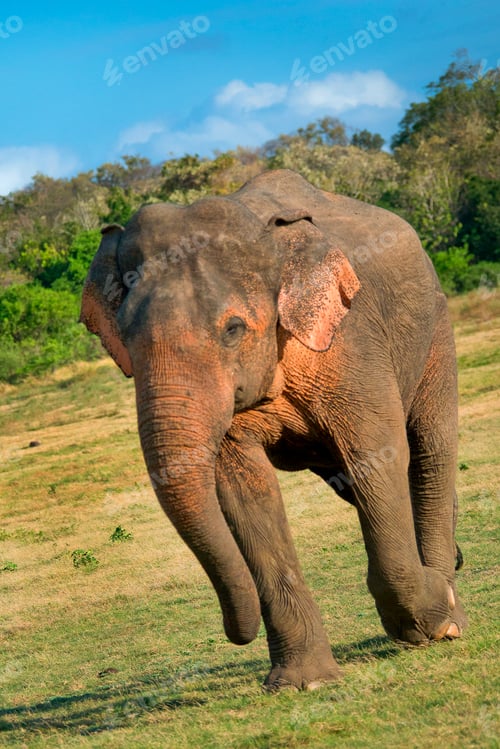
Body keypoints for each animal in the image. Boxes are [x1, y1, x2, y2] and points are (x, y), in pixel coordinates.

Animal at [80, 168, 467, 692]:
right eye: (126, 338)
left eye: (233, 329)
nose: (235, 632)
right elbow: (242, 489)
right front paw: (304, 683)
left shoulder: (353, 343)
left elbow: (377, 456)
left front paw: (429, 618)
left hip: (436, 328)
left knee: (429, 449)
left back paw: (451, 616)